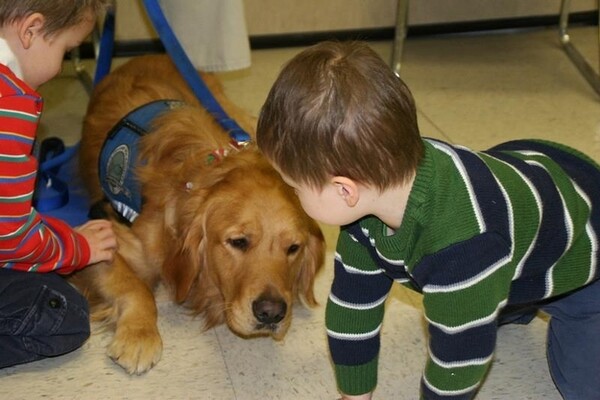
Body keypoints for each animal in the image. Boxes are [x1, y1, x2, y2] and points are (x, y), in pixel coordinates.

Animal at [71, 55, 328, 376]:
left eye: (293, 248)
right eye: (238, 242)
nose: (271, 313)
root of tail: (147, 54)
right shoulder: (106, 237)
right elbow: (135, 287)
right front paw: (139, 336)